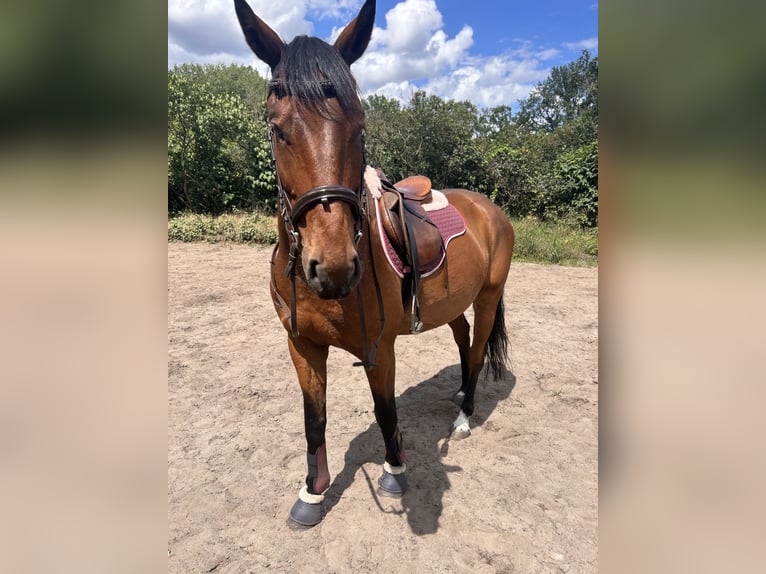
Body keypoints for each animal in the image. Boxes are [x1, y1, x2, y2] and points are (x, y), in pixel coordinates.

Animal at [234, 0, 516, 528]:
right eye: (277, 129)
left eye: (360, 126)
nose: (334, 267)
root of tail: (491, 209)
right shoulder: (302, 346)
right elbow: (314, 419)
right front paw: (313, 492)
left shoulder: (379, 347)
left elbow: (385, 409)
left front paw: (395, 470)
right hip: (453, 304)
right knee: (464, 338)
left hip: (489, 297)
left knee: (478, 346)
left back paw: (464, 416)